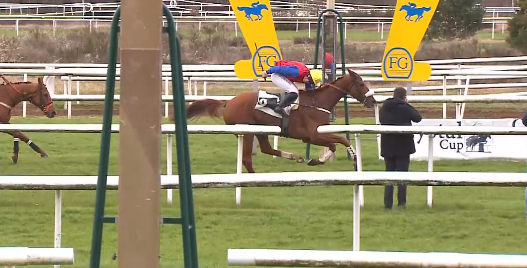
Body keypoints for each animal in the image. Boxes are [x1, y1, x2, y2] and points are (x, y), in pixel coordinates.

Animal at [186, 68, 376, 173]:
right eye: (361, 83)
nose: (372, 101)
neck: (317, 103)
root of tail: (229, 102)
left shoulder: (318, 133)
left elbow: (340, 141)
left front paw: (352, 159)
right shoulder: (312, 136)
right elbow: (336, 143)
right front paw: (319, 160)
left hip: (261, 130)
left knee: (266, 149)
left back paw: (294, 157)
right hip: (248, 132)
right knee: (247, 159)